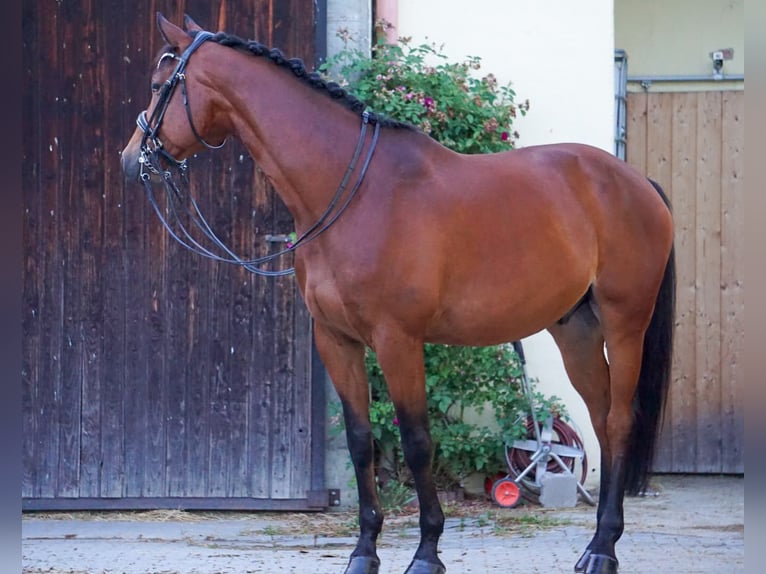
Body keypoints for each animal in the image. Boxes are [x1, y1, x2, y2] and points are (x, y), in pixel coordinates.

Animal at [121, 14, 680, 574]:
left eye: (158, 85)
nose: (131, 161)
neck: (356, 196)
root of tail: (638, 182)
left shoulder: (399, 341)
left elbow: (416, 442)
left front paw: (427, 552)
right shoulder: (336, 340)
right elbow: (360, 442)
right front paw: (363, 552)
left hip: (624, 324)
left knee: (619, 421)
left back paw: (603, 548)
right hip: (577, 332)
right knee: (602, 423)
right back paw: (595, 545)